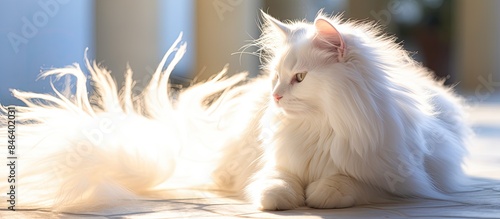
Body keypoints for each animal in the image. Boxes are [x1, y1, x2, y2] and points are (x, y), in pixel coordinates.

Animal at [244, 12, 470, 210]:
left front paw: (319, 192)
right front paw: (277, 198)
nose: (275, 95)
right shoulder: (279, 164)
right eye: (276, 76)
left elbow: (348, 181)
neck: (321, 128)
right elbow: (276, 182)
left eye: (300, 77)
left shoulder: (398, 183)